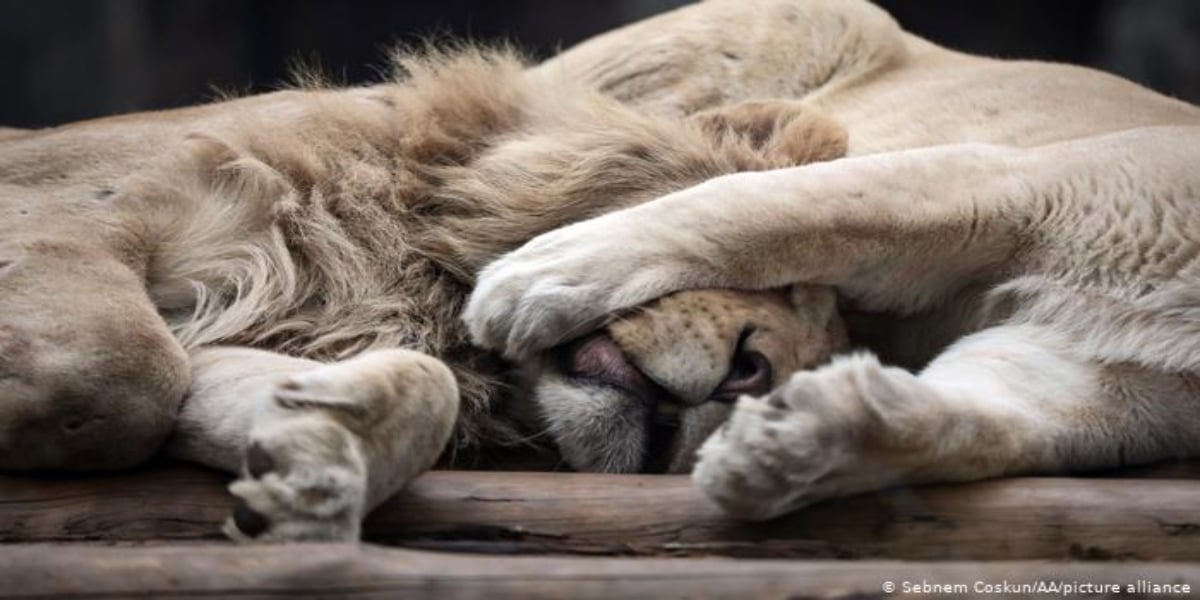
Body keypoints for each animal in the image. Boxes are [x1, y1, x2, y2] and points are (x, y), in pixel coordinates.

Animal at [0, 43, 849, 541]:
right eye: (774, 269)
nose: (750, 373)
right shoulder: (61, 209)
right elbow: (126, 370)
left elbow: (416, 390)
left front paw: (312, 463)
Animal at [467, 0, 1200, 521]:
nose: (741, 376)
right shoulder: (1013, 184)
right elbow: (782, 207)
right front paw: (536, 281)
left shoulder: (1103, 384)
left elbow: (977, 425)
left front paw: (787, 448)